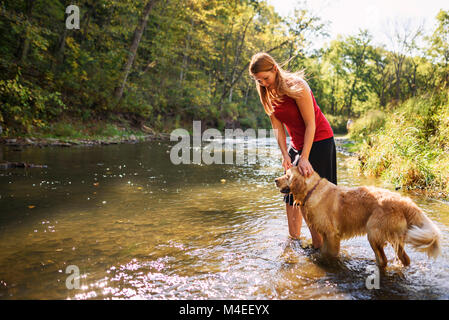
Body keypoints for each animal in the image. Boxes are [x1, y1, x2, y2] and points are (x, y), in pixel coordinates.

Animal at [272, 168, 440, 268]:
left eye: (287, 176)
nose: (275, 180)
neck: (312, 190)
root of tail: (405, 202)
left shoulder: (332, 235)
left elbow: (330, 254)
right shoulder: (326, 235)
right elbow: (324, 251)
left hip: (373, 233)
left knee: (383, 260)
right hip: (392, 237)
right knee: (404, 259)